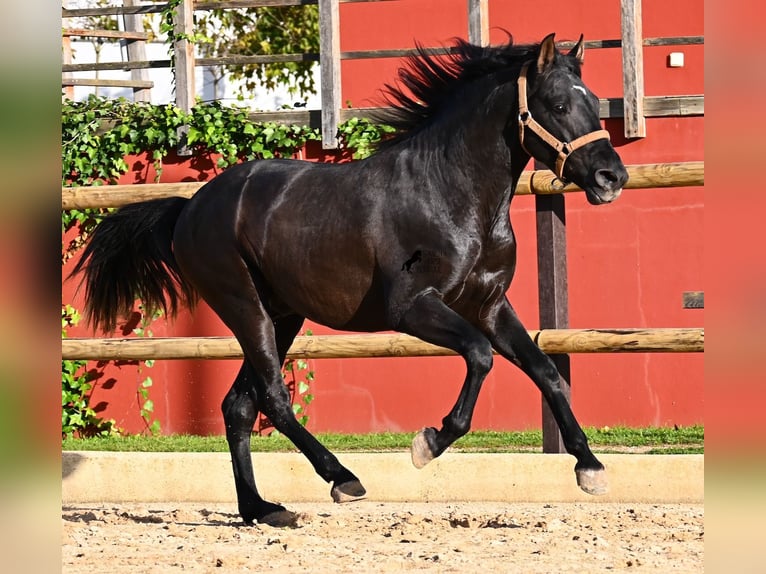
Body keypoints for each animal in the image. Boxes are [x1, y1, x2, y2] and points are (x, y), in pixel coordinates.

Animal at [72, 33, 632, 528]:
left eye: (594, 101)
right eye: (558, 104)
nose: (613, 177)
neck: (450, 192)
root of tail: (188, 209)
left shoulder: (491, 305)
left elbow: (546, 371)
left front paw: (591, 468)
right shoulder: (414, 308)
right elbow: (479, 355)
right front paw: (428, 443)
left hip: (282, 316)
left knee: (239, 406)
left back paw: (262, 509)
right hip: (245, 308)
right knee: (273, 399)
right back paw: (342, 478)